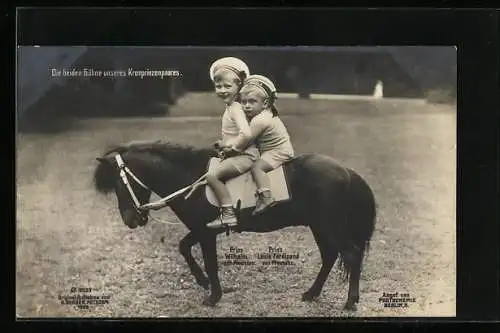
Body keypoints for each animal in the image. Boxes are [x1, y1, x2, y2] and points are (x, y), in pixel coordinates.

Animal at [93, 139, 376, 308]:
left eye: (119, 184)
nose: (130, 220)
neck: (191, 177)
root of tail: (346, 171)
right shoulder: (202, 229)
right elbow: (184, 248)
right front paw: (203, 282)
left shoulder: (205, 233)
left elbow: (210, 262)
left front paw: (212, 296)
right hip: (320, 227)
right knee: (330, 256)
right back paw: (312, 293)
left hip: (329, 226)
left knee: (351, 254)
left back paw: (351, 301)